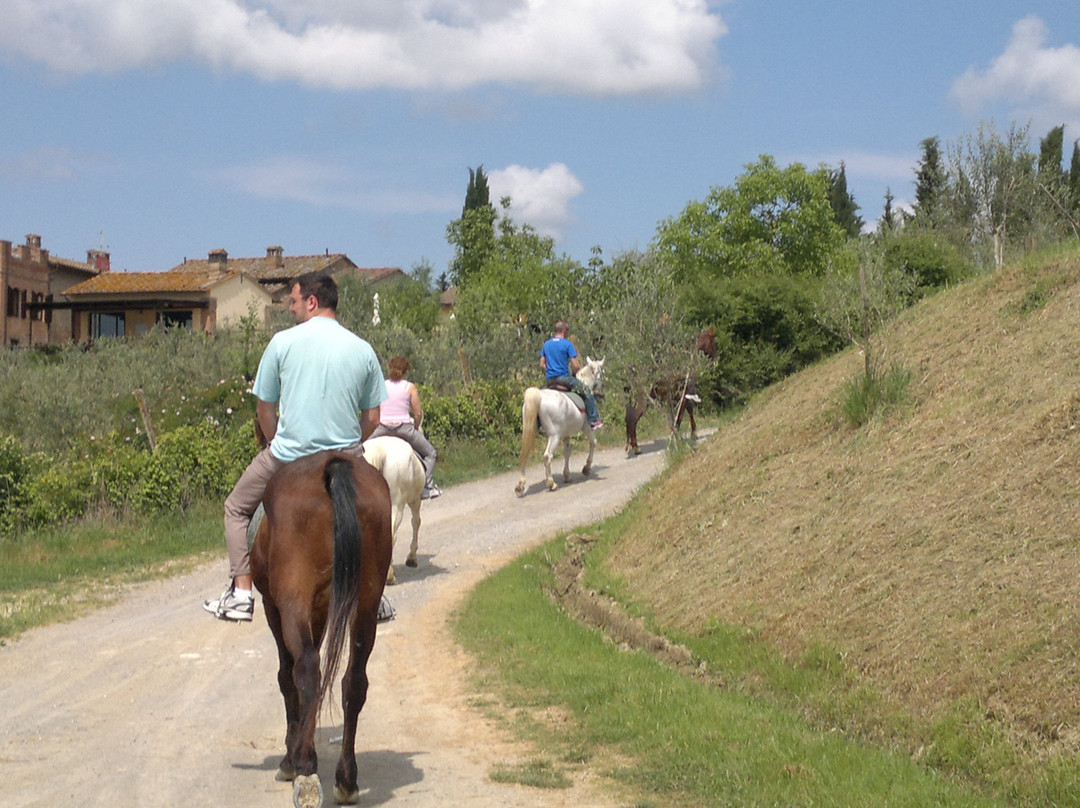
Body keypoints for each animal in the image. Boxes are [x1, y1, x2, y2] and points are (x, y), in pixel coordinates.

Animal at [248, 451, 393, 803]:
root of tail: (333, 466)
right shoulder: (321, 609)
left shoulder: (274, 607)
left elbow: (286, 676)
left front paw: (291, 756)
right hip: (366, 603)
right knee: (354, 681)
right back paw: (347, 779)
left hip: (293, 600)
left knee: (307, 672)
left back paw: (303, 766)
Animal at [511, 356, 604, 494]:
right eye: (602, 372)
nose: (601, 386)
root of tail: (540, 396)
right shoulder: (587, 428)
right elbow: (593, 443)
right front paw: (586, 468)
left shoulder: (566, 435)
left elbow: (567, 452)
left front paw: (567, 475)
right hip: (554, 436)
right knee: (547, 456)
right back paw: (551, 484)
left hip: (530, 430)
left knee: (525, 455)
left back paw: (520, 486)